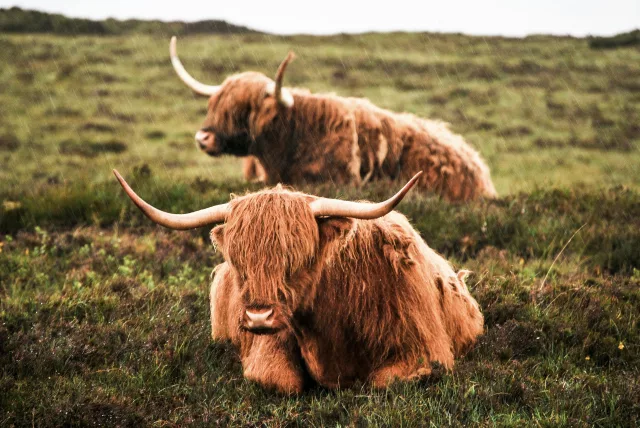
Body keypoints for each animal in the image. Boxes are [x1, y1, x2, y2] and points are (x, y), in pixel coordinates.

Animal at [114, 169, 484, 393]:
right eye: (240, 262)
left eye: (296, 259)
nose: (258, 316)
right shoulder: (269, 346)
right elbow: (281, 381)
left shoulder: (423, 352)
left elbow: (382, 381)